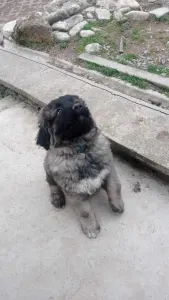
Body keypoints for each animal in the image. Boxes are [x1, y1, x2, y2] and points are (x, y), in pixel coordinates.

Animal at [36, 95, 124, 238]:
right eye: (59, 111)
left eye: (76, 101)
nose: (78, 106)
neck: (81, 148)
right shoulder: (74, 190)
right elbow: (85, 212)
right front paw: (91, 228)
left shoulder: (108, 169)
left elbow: (115, 187)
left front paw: (118, 205)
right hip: (48, 170)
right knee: (52, 185)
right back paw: (57, 198)